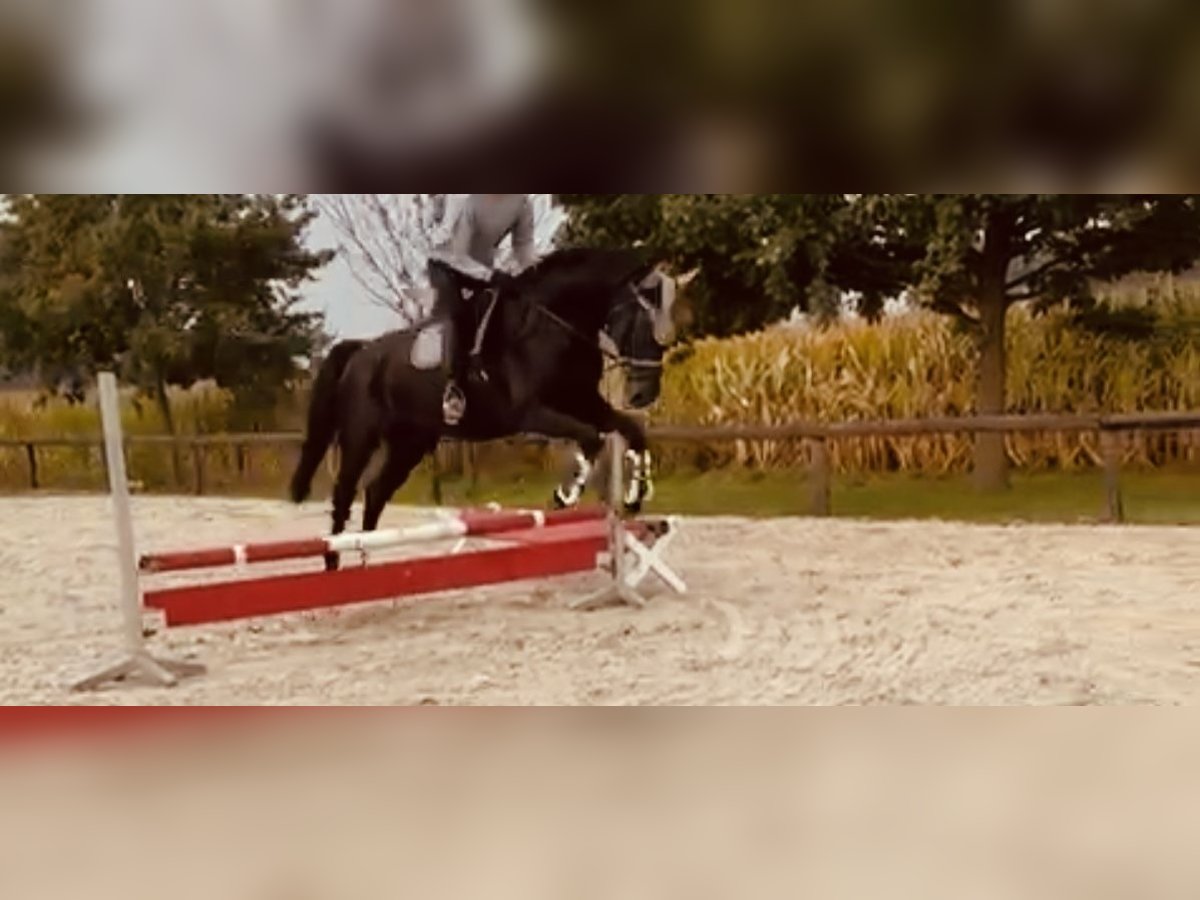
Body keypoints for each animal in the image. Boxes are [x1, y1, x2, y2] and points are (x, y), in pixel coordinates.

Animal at [288, 247, 684, 571]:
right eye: (643, 322)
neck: (554, 324)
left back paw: (366, 559)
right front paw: (566, 493)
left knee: (375, 493)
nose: (645, 395)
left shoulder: (584, 400)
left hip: (409, 443)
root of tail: (362, 352)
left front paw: (635, 495)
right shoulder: (533, 413)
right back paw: (334, 561)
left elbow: (631, 431)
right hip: (361, 437)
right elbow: (591, 438)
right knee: (344, 495)